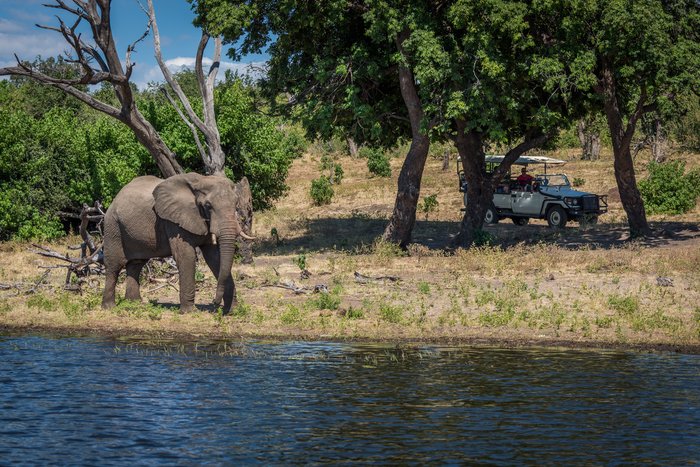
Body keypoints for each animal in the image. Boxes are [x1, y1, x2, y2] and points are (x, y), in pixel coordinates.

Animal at [101, 175, 254, 314]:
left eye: (236, 204)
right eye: (208, 206)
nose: (215, 303)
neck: (201, 180)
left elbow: (215, 258)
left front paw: (233, 311)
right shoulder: (174, 222)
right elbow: (186, 257)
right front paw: (190, 312)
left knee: (136, 265)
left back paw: (135, 304)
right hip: (112, 227)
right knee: (114, 265)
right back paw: (109, 307)